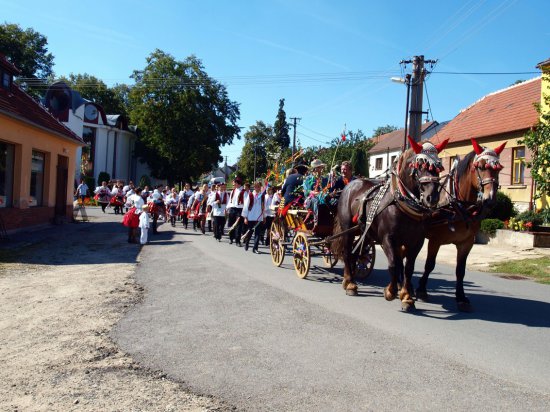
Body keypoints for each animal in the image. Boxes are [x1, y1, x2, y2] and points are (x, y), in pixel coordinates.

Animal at [330, 137, 450, 310]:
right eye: (420, 166)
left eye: (438, 167)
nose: (431, 198)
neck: (401, 203)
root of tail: (350, 185)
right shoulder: (388, 239)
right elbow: (393, 264)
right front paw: (391, 291)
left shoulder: (416, 242)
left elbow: (408, 268)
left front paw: (407, 297)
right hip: (348, 229)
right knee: (347, 253)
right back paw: (350, 283)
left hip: (365, 232)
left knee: (355, 254)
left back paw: (350, 279)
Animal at [418, 139, 508, 312]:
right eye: (480, 167)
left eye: (498, 168)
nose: (490, 199)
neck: (458, 206)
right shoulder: (435, 241)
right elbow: (429, 265)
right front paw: (422, 290)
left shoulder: (466, 243)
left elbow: (460, 270)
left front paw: (461, 298)